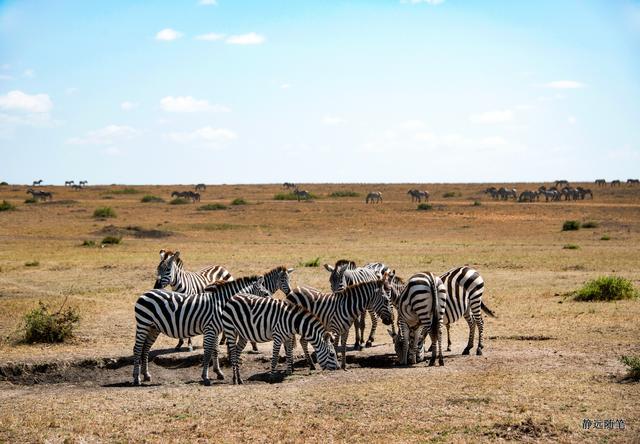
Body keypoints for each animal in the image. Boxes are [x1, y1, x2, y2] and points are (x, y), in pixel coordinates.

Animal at [134, 276, 274, 386]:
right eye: (266, 294)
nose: (273, 305)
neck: (221, 304)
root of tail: (145, 293)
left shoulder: (216, 330)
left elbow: (215, 351)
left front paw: (218, 373)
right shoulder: (210, 329)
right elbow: (207, 353)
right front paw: (205, 378)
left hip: (153, 328)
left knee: (145, 348)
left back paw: (146, 375)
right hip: (143, 323)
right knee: (137, 348)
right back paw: (137, 379)